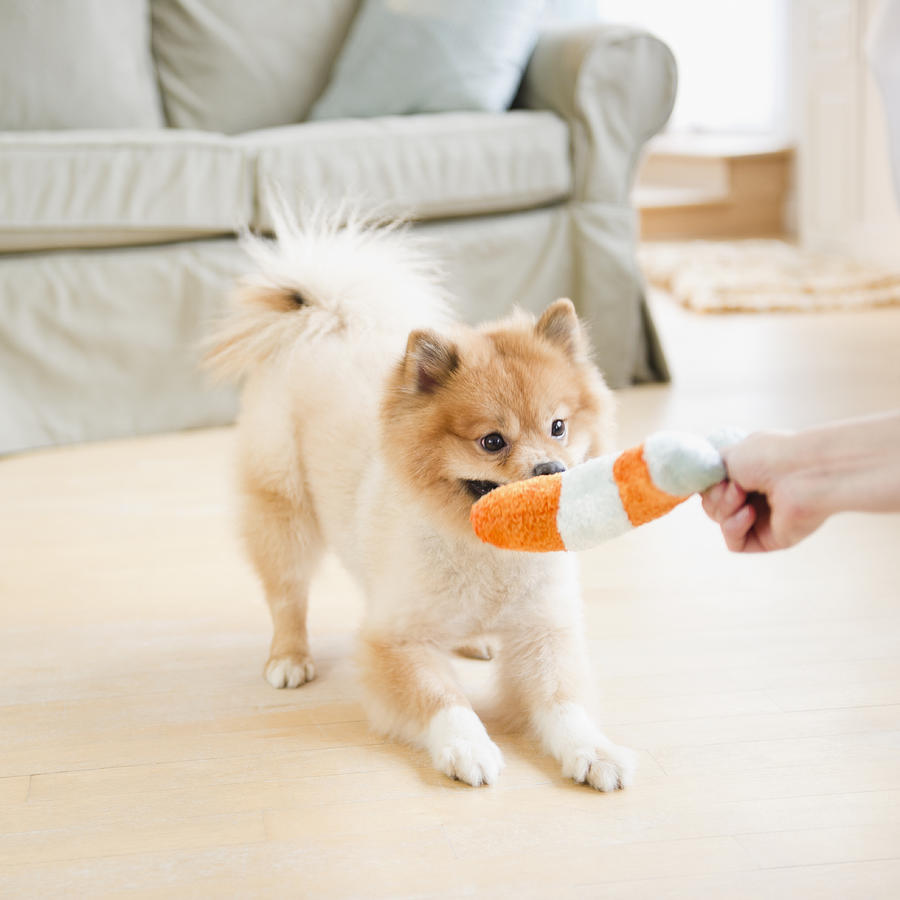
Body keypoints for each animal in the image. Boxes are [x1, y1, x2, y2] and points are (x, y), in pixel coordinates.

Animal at [207, 209, 636, 788]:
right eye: (492, 441)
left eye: (559, 427)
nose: (551, 469)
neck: (487, 553)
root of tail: (325, 319)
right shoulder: (397, 642)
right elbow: (443, 699)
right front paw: (467, 747)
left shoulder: (544, 631)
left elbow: (563, 703)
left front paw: (593, 751)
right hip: (283, 510)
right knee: (287, 596)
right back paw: (290, 658)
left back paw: (475, 640)